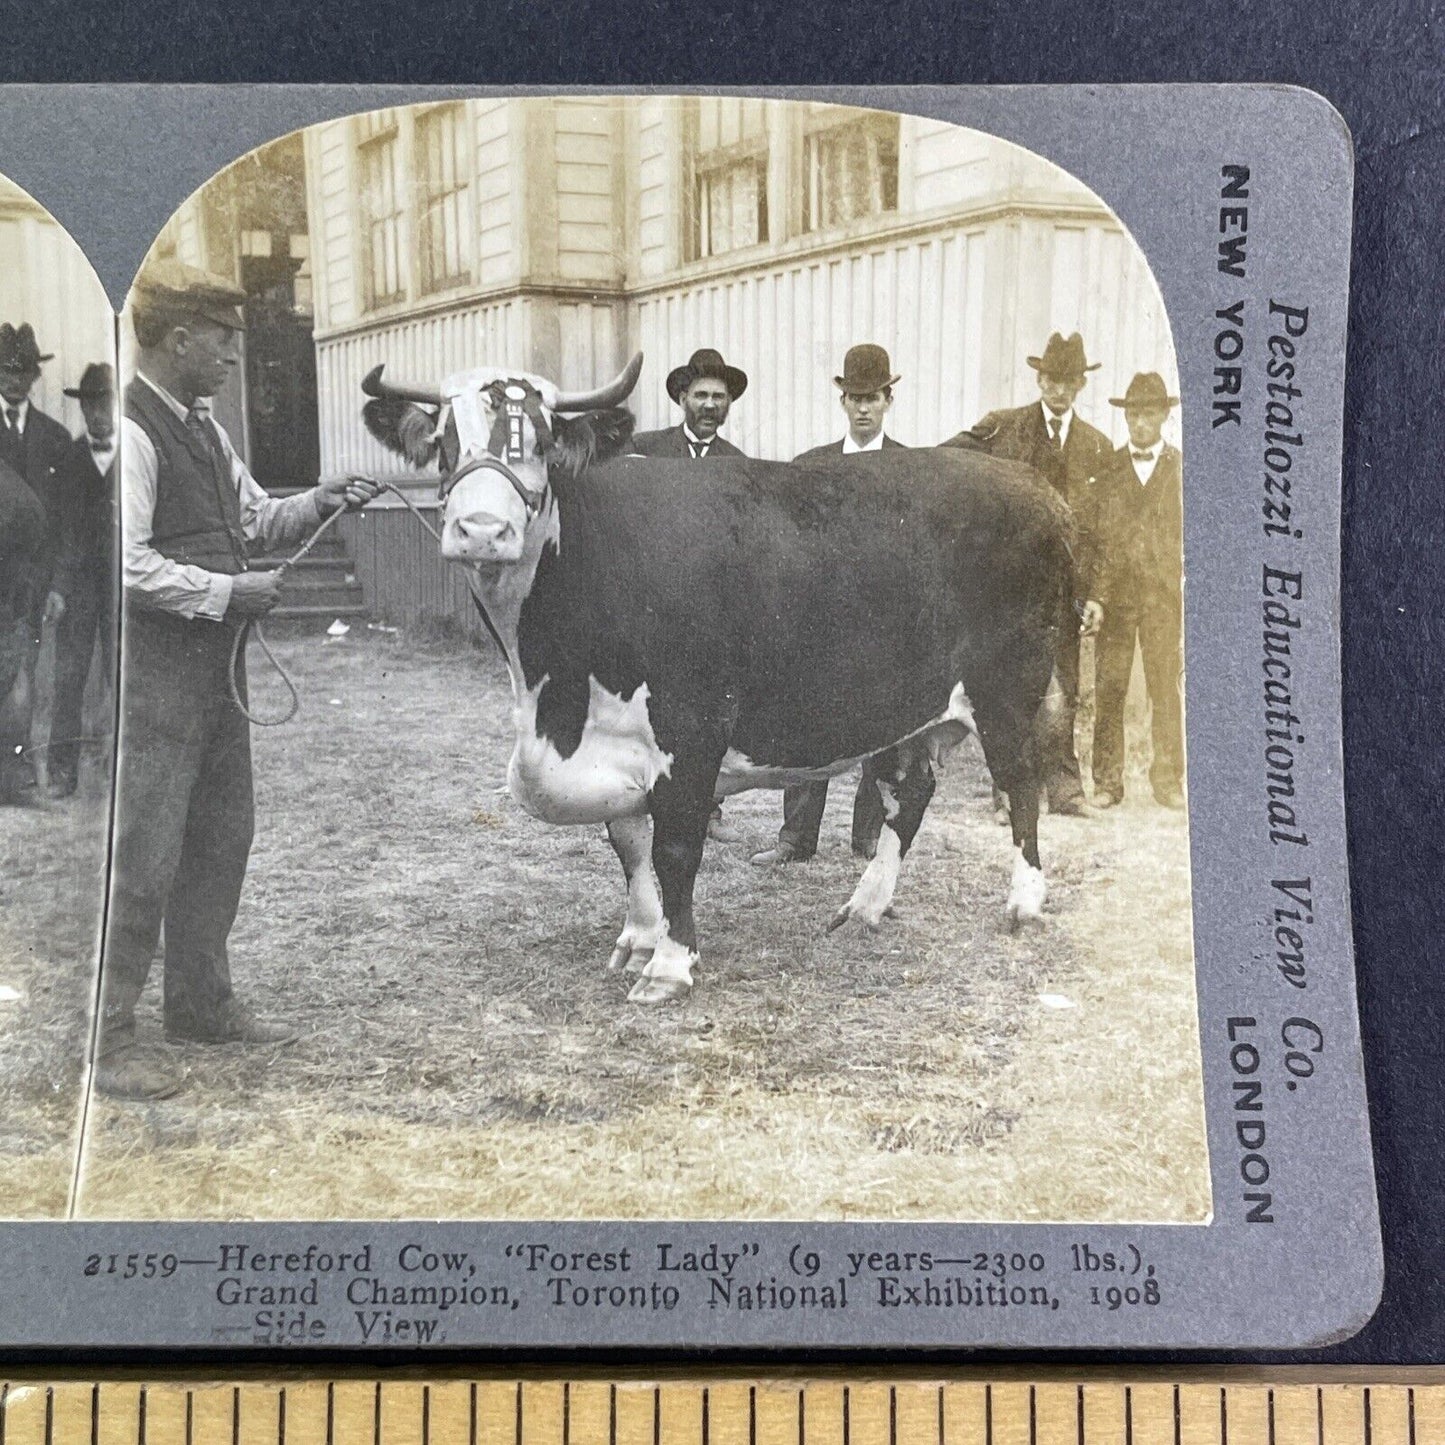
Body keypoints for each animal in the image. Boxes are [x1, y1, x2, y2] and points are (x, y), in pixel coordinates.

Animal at [364, 354, 1075, 999]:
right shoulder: (619, 740)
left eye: (541, 442)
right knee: (913, 793)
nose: (483, 530)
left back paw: (1023, 902)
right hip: (907, 706)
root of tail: (1031, 482)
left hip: (1009, 687)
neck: (550, 694)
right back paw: (865, 905)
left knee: (1022, 783)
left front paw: (671, 964)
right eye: (444, 445)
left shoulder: (692, 729)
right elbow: (629, 845)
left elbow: (677, 848)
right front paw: (639, 937)